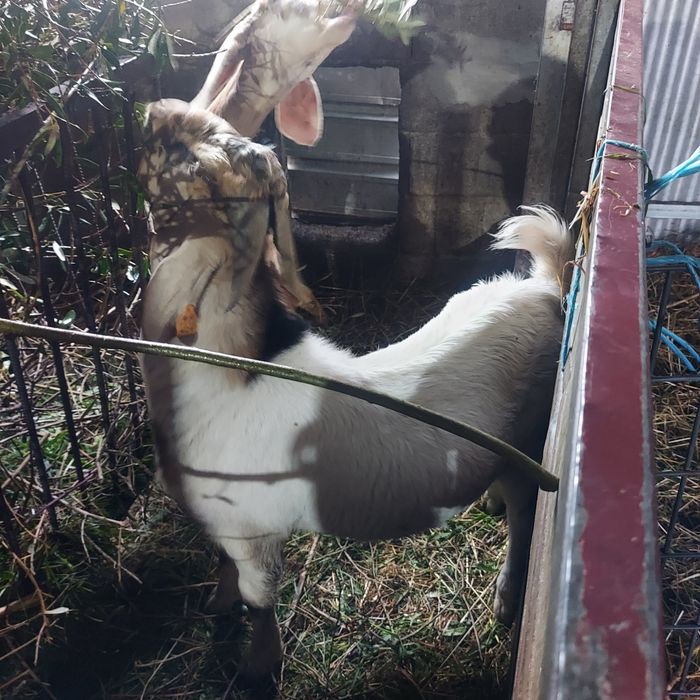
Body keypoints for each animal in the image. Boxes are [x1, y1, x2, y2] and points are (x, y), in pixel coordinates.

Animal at [136, 1, 573, 682]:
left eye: (196, 158)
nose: (152, 110)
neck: (231, 364)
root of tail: (546, 287)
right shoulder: (225, 527)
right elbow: (224, 575)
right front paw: (215, 609)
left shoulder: (254, 530)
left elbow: (260, 601)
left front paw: (257, 668)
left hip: (534, 440)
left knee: (528, 515)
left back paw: (506, 602)